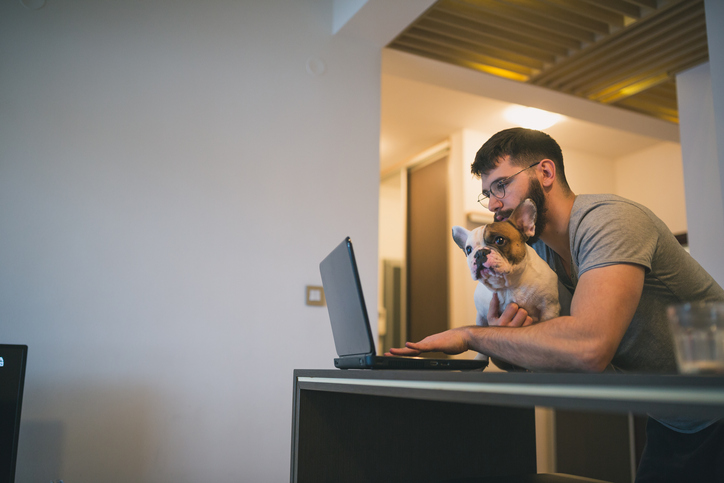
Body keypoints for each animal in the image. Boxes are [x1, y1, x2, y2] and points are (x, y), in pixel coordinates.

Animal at [452, 199, 560, 328]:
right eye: (468, 249)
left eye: (499, 240)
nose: (479, 253)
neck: (507, 286)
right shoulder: (481, 317)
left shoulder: (549, 309)